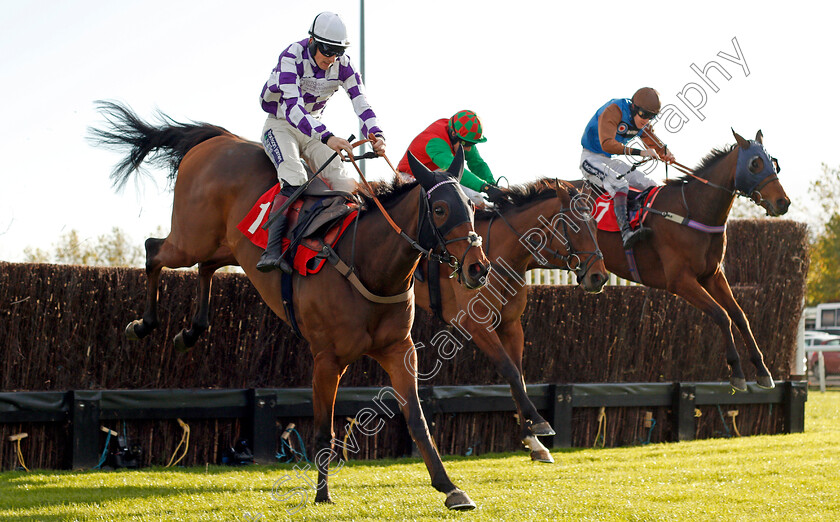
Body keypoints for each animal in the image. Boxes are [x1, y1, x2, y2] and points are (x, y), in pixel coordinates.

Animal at [90, 100, 492, 508]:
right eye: (440, 209)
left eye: (472, 208)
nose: (478, 267)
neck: (367, 264)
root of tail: (221, 138)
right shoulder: (327, 359)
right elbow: (324, 429)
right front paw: (322, 493)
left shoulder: (399, 350)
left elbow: (418, 421)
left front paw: (451, 488)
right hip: (191, 236)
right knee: (154, 250)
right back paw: (143, 324)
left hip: (226, 245)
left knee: (205, 267)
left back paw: (190, 332)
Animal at [416, 178, 608, 460]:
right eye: (575, 227)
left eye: (594, 225)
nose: (599, 277)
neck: (499, 257)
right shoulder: (476, 325)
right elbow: (508, 369)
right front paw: (539, 422)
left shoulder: (510, 325)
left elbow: (518, 376)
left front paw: (533, 439)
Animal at [572, 129, 788, 390]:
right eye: (755, 164)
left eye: (774, 163)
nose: (783, 202)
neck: (693, 210)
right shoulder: (680, 281)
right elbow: (721, 315)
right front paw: (736, 371)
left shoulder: (712, 275)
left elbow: (739, 315)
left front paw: (763, 369)